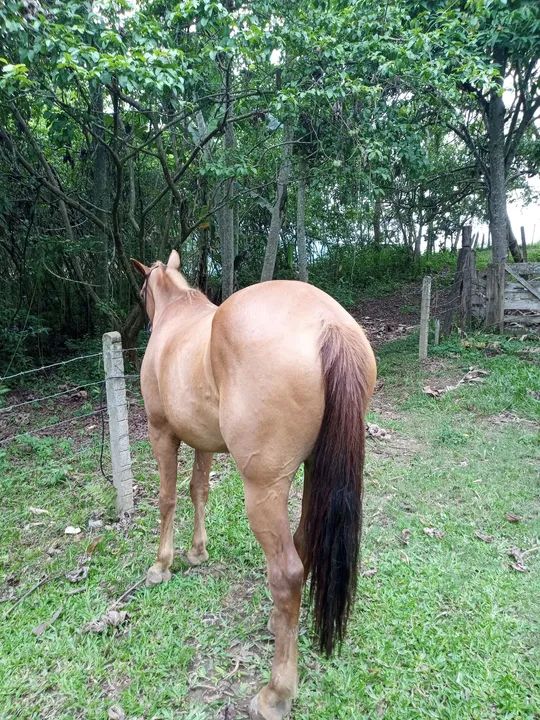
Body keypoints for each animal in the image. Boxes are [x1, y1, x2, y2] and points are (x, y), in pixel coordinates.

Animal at [132, 251, 376, 720]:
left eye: (140, 293)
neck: (177, 319)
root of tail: (329, 326)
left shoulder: (162, 434)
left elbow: (168, 498)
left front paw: (161, 564)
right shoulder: (203, 441)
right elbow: (199, 490)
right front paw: (197, 552)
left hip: (264, 490)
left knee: (287, 573)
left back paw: (276, 692)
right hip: (315, 471)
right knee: (303, 543)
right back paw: (279, 626)